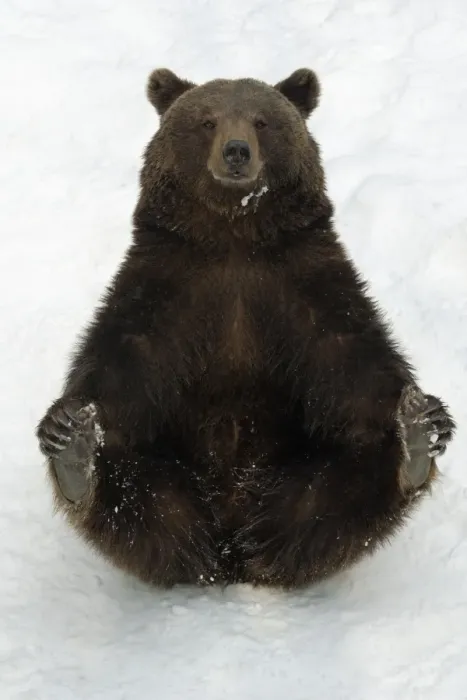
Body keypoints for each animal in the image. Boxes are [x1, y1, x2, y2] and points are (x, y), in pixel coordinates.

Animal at [36, 68, 456, 589]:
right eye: (207, 120)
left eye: (262, 120)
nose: (237, 151)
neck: (233, 233)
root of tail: (231, 546)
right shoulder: (167, 285)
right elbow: (120, 363)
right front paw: (66, 423)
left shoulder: (302, 282)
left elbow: (354, 360)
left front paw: (426, 415)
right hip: (177, 478)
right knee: (140, 493)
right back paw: (75, 462)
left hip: (295, 475)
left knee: (337, 491)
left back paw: (414, 446)